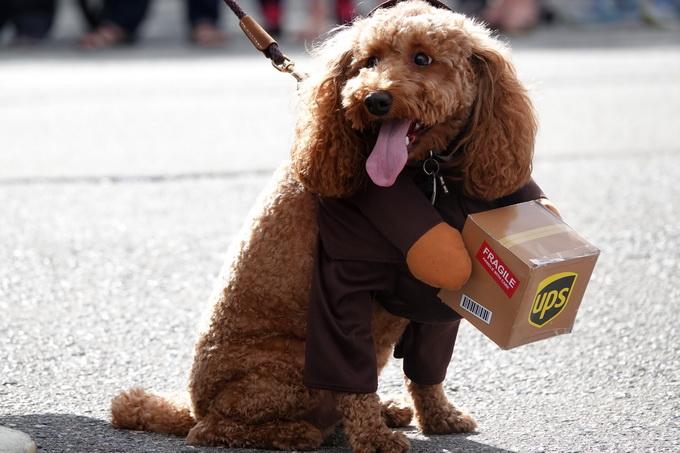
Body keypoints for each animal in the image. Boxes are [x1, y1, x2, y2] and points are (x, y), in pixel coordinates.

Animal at [109, 1, 540, 450]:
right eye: (368, 61)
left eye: (422, 58)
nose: (373, 99)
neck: (423, 176)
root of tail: (194, 403)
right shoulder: (342, 282)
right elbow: (352, 379)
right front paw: (374, 438)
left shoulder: (442, 296)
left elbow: (427, 371)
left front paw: (440, 417)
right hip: (288, 369)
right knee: (213, 429)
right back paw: (296, 433)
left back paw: (385, 409)